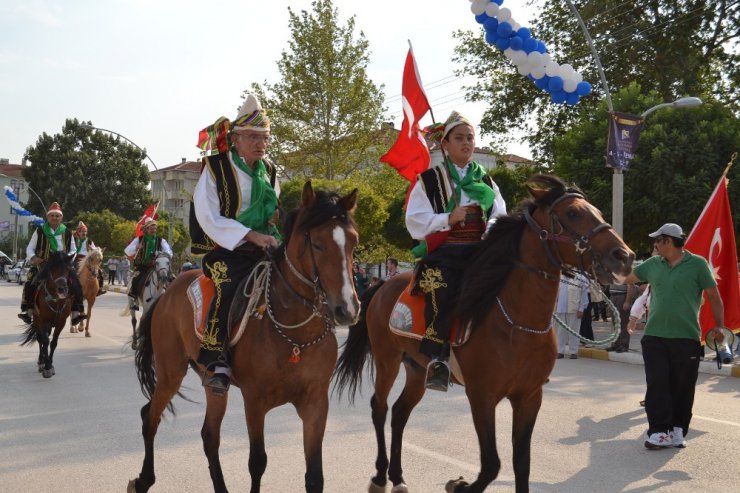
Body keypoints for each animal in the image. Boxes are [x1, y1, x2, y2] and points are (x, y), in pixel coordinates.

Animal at [130, 182, 362, 492]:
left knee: (209, 435)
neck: (296, 335)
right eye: (317, 243)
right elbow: (257, 462)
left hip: (210, 380)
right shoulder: (255, 401)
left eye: (353, 242)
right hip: (170, 371)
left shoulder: (315, 402)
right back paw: (143, 479)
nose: (347, 309)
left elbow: (315, 475)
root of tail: (167, 292)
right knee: (150, 417)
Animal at [332, 175, 632, 490]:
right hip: (387, 359)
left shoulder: (529, 396)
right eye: (573, 213)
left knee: (400, 413)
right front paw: (458, 484)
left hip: (416, 368)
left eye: (597, 211)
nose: (624, 256)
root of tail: (383, 284)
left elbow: (521, 463)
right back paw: (380, 475)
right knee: (379, 408)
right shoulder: (481, 396)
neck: (518, 324)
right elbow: (491, 465)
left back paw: (398, 476)